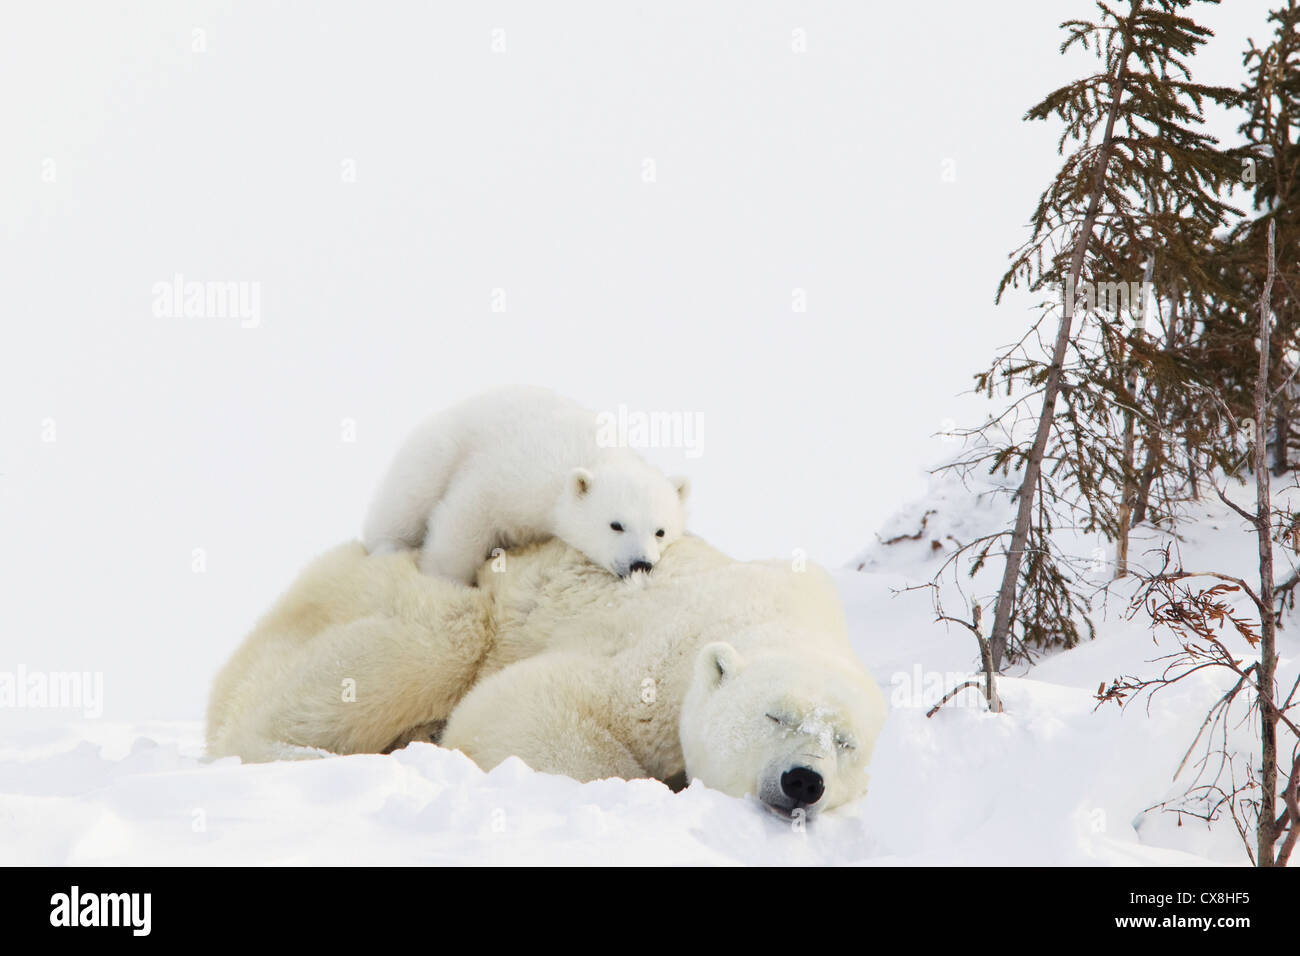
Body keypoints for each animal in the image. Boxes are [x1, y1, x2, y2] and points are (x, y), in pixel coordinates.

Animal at [206, 535, 888, 817]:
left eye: (845, 743)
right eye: (775, 715)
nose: (803, 781)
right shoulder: (659, 654)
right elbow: (519, 705)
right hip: (402, 589)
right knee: (438, 637)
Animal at [361, 386, 690, 584]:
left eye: (660, 531)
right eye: (616, 525)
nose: (640, 564)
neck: (592, 453)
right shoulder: (521, 474)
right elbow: (467, 513)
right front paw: (444, 579)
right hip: (436, 450)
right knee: (408, 500)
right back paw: (388, 546)